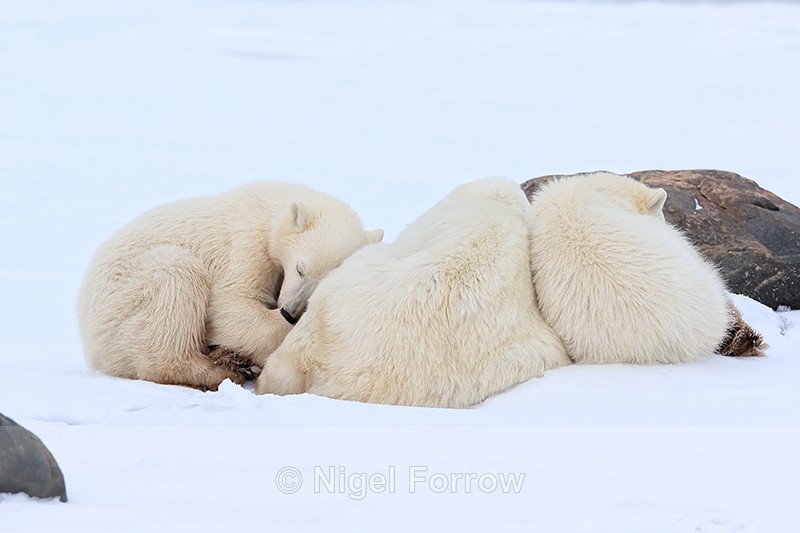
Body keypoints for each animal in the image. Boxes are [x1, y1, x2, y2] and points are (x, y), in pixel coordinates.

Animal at [77, 182, 383, 390]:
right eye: (300, 268)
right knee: (174, 274)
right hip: (123, 298)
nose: (290, 312)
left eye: (323, 282)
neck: (271, 207)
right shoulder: (246, 242)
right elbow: (229, 304)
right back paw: (222, 370)